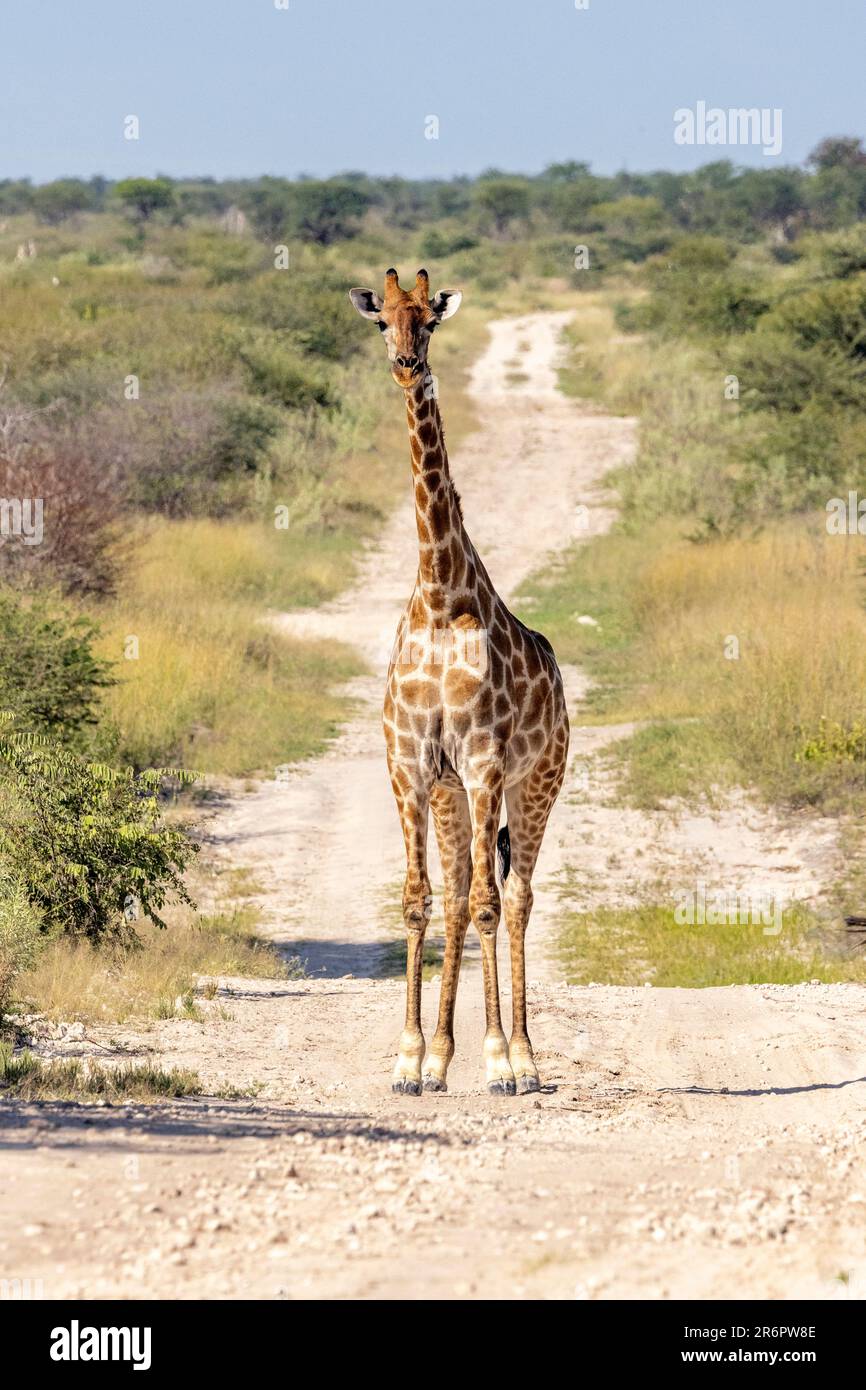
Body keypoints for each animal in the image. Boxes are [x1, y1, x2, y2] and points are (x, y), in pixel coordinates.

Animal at [348, 268, 572, 1095]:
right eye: (382, 321)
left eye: (431, 323)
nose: (407, 366)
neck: (442, 597)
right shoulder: (412, 764)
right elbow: (419, 901)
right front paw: (412, 1058)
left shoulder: (483, 762)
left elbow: (486, 903)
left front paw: (501, 1059)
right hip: (455, 795)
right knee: (457, 894)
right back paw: (444, 1055)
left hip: (537, 781)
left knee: (516, 894)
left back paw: (526, 1057)